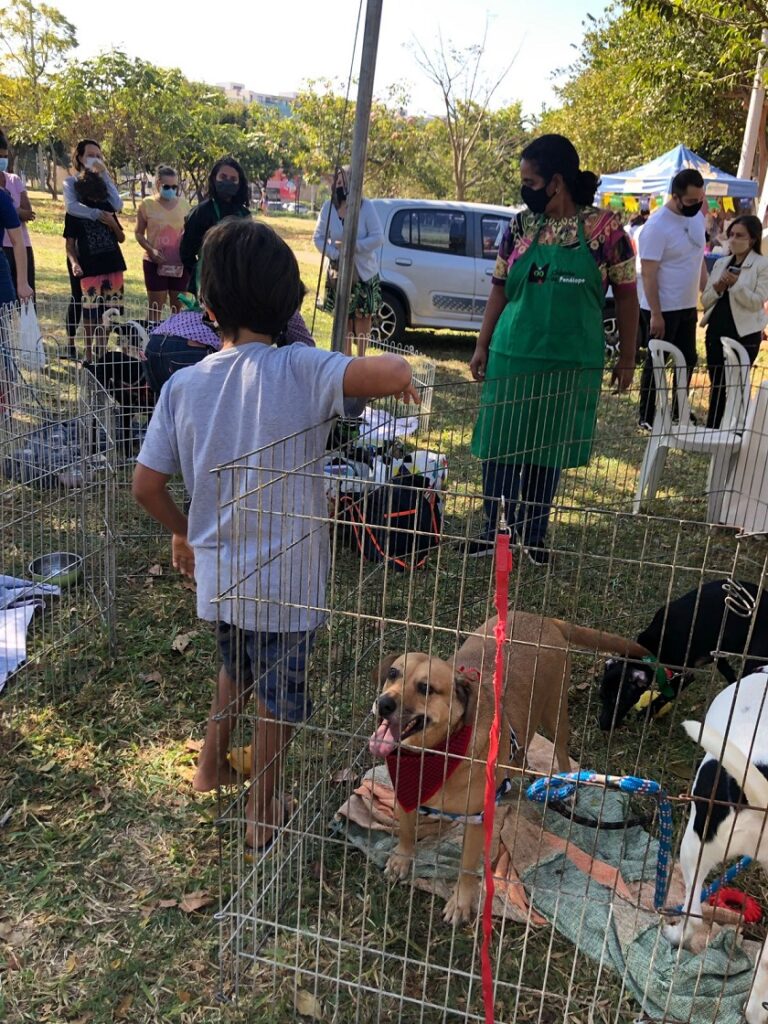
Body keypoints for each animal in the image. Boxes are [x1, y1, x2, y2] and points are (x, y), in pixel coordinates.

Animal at [370, 610, 651, 925]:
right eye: (393, 673)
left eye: (425, 688)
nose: (383, 703)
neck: (435, 753)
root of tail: (541, 618)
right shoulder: (404, 793)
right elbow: (406, 832)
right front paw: (401, 859)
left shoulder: (476, 820)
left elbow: (467, 866)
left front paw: (460, 902)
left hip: (555, 713)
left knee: (561, 751)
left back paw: (565, 788)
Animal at [602, 581, 768, 733]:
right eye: (601, 697)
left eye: (619, 701)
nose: (603, 726)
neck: (654, 646)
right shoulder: (717, 655)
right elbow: (732, 678)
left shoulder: (685, 675)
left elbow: (664, 696)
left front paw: (644, 715)